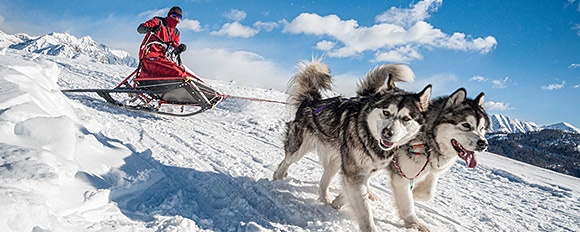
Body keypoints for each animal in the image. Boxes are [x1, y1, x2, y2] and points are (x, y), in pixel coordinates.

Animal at [272, 60, 430, 232]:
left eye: (406, 118)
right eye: (386, 112)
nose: (388, 132)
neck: (369, 135)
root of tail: (312, 101)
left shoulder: (364, 171)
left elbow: (355, 194)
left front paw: (337, 202)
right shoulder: (354, 173)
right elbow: (365, 212)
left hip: (335, 161)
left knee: (323, 183)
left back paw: (325, 200)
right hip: (299, 148)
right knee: (286, 161)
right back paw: (277, 179)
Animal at [388, 88, 488, 231]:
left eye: (482, 128)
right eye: (466, 125)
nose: (483, 143)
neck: (428, 141)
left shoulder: (430, 171)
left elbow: (427, 193)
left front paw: (414, 195)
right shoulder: (401, 177)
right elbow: (407, 205)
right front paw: (415, 224)